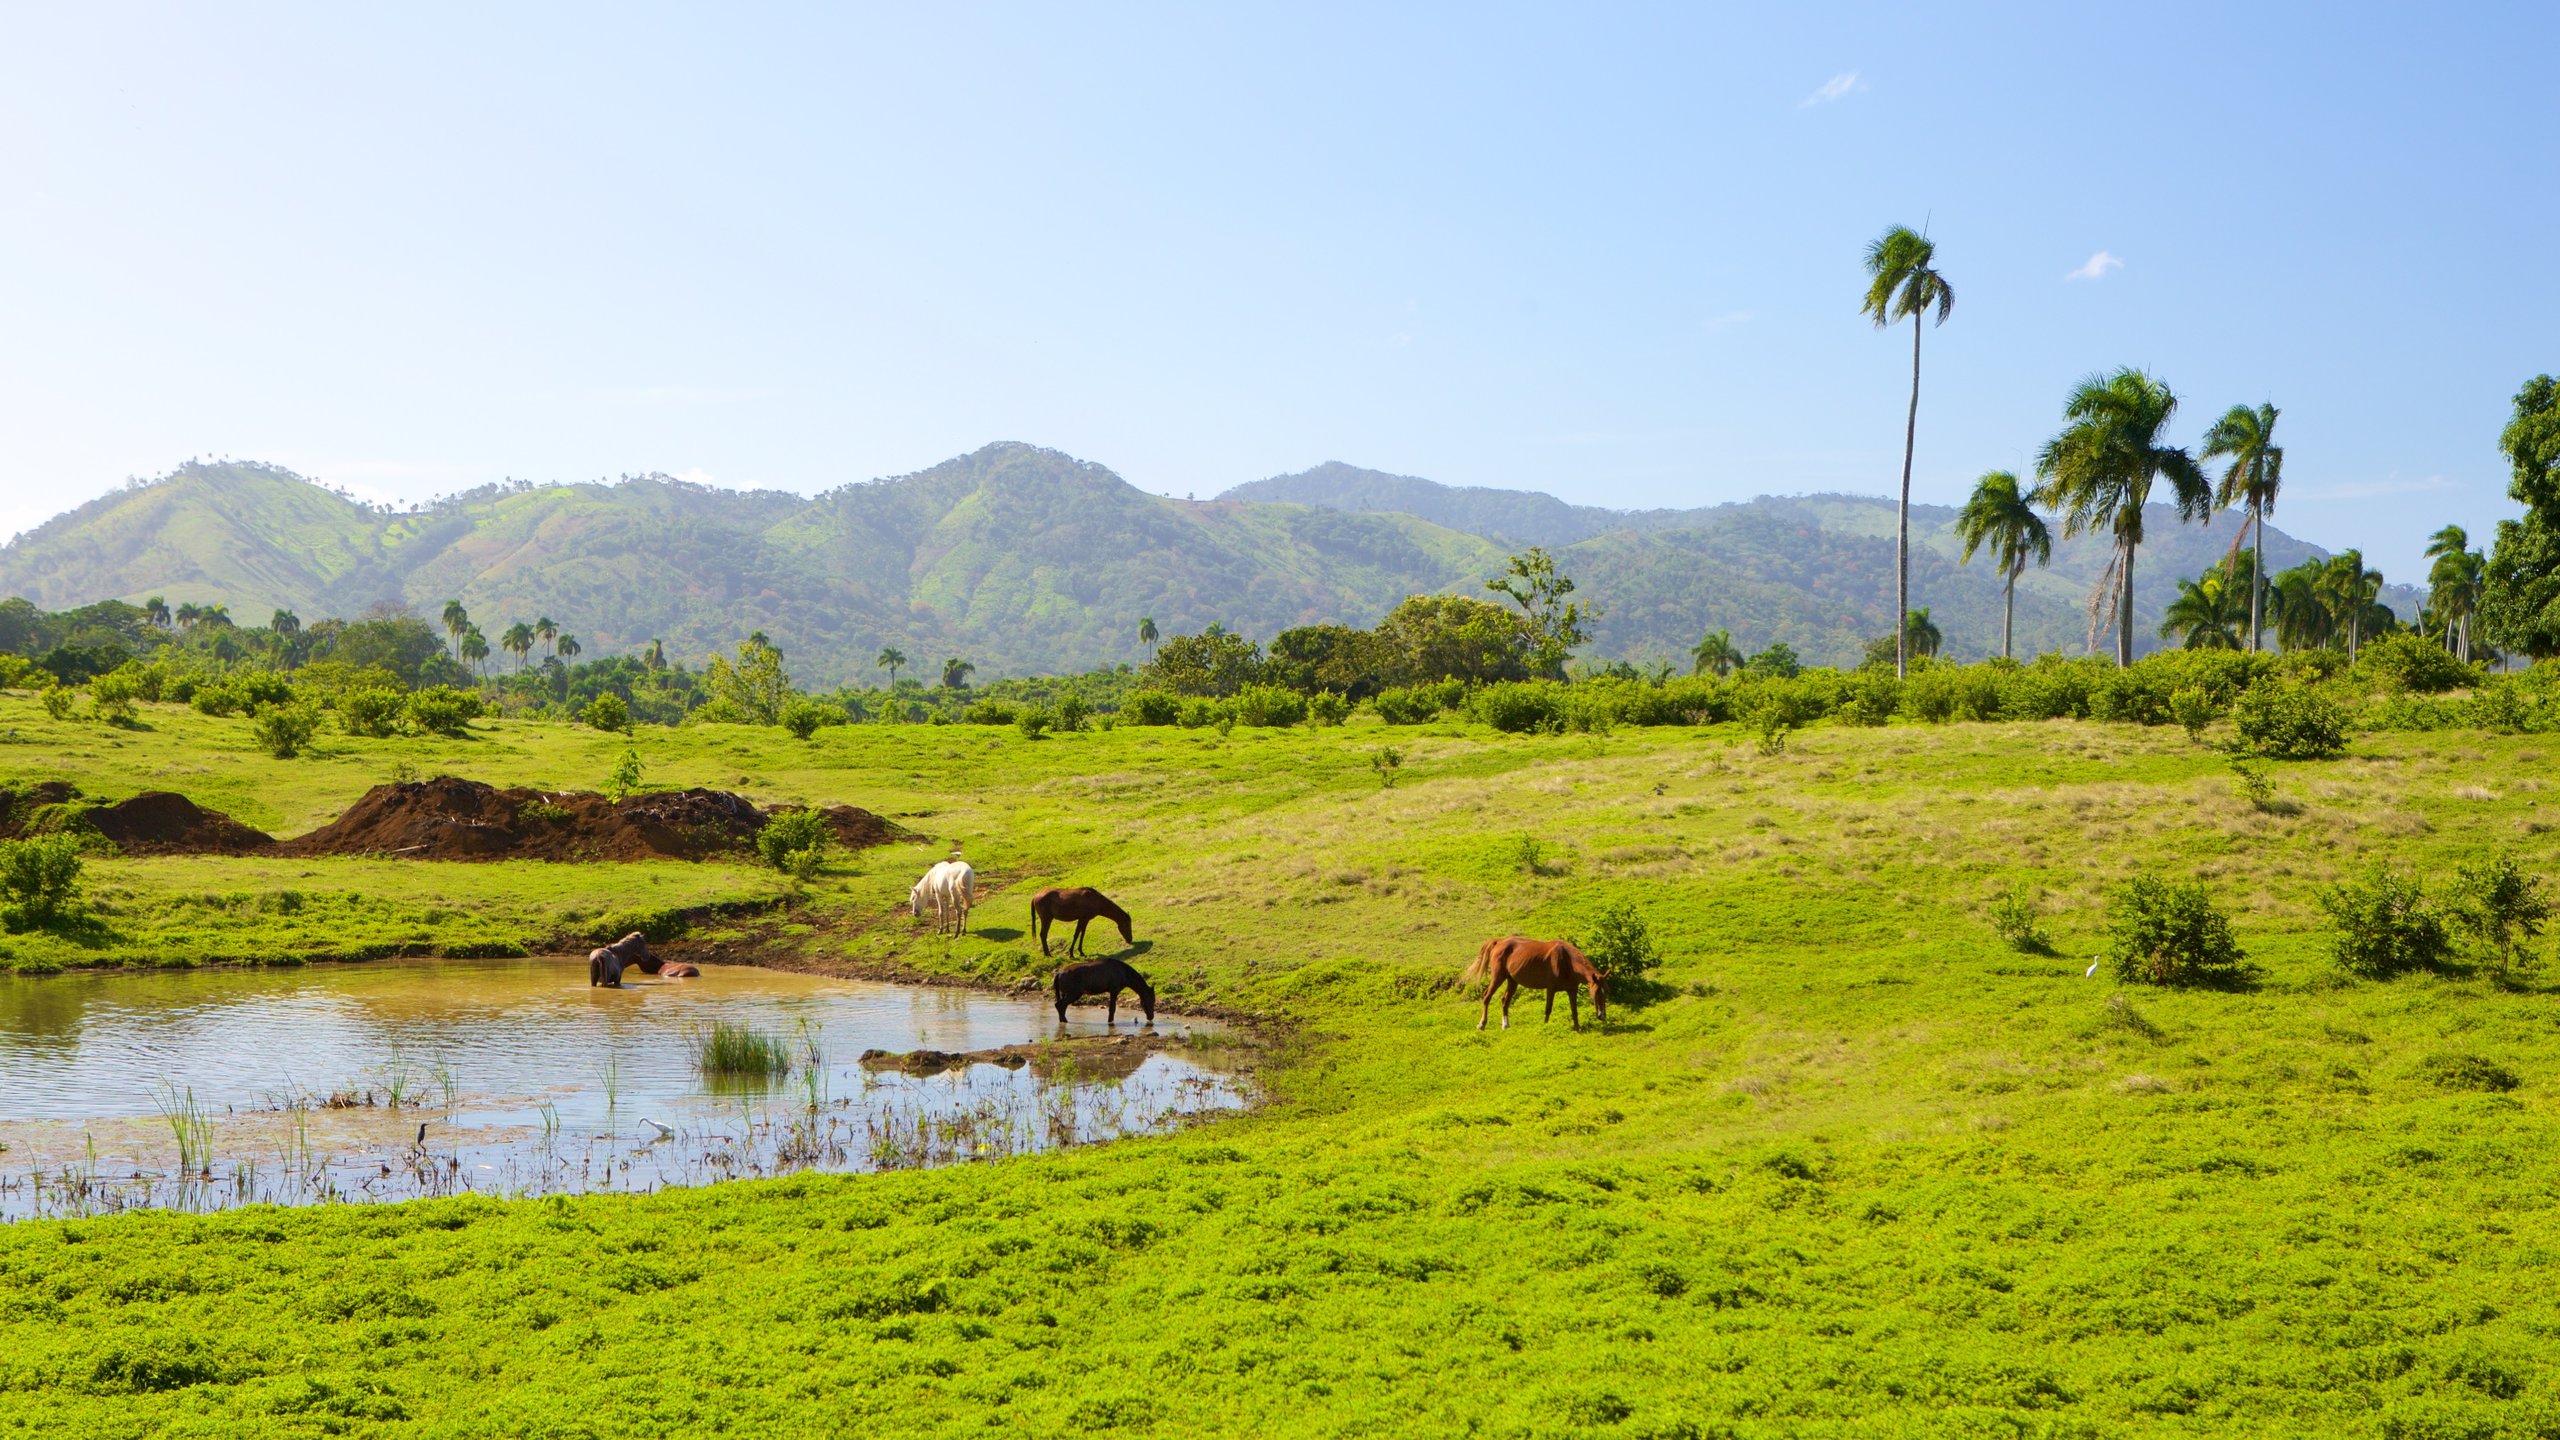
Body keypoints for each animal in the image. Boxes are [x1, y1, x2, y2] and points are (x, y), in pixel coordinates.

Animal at [1464, 932, 1597, 1030]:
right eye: (1595, 993)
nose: (1600, 1015)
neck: (1566, 960)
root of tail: (1499, 942)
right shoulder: (1551, 988)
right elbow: (1548, 1008)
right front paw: (1545, 1026)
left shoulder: (1571, 989)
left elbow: (1573, 1009)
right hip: (1498, 977)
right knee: (1487, 996)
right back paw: (1482, 1024)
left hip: (1512, 980)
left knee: (1505, 1000)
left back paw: (1505, 1025)